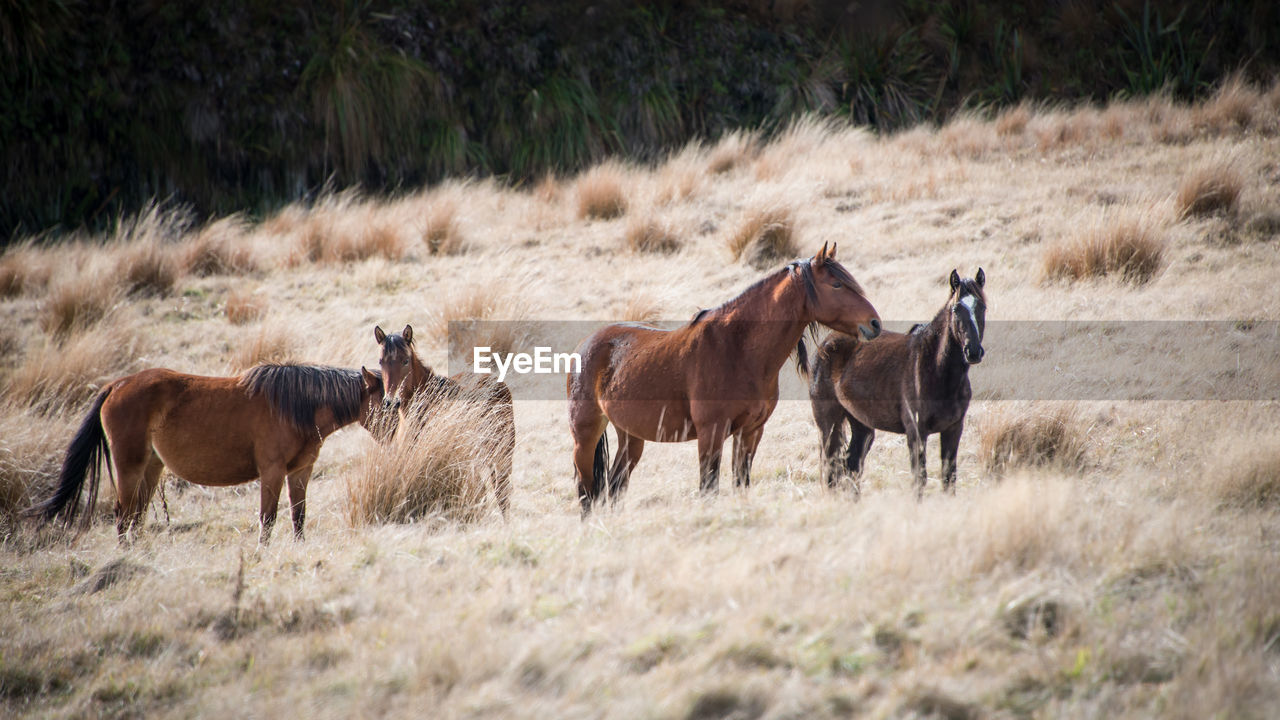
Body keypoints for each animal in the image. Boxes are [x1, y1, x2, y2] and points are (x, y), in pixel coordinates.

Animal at [27, 361, 386, 540]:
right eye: (386, 402)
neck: (296, 406)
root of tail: (117, 385)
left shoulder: (300, 471)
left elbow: (299, 516)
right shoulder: (272, 471)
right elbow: (268, 518)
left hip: (151, 467)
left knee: (136, 515)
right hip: (129, 465)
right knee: (123, 514)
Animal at [568, 243, 880, 512]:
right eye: (837, 284)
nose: (874, 323)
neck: (735, 348)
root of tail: (585, 345)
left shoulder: (751, 431)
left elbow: (741, 483)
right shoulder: (711, 432)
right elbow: (709, 487)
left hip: (630, 437)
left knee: (614, 485)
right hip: (585, 436)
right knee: (586, 490)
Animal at [798, 266, 988, 497]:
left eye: (982, 308)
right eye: (956, 309)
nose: (973, 351)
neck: (936, 371)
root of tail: (826, 344)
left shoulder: (953, 429)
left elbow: (948, 478)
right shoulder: (916, 432)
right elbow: (919, 479)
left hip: (861, 425)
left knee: (852, 466)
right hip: (828, 422)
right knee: (830, 469)